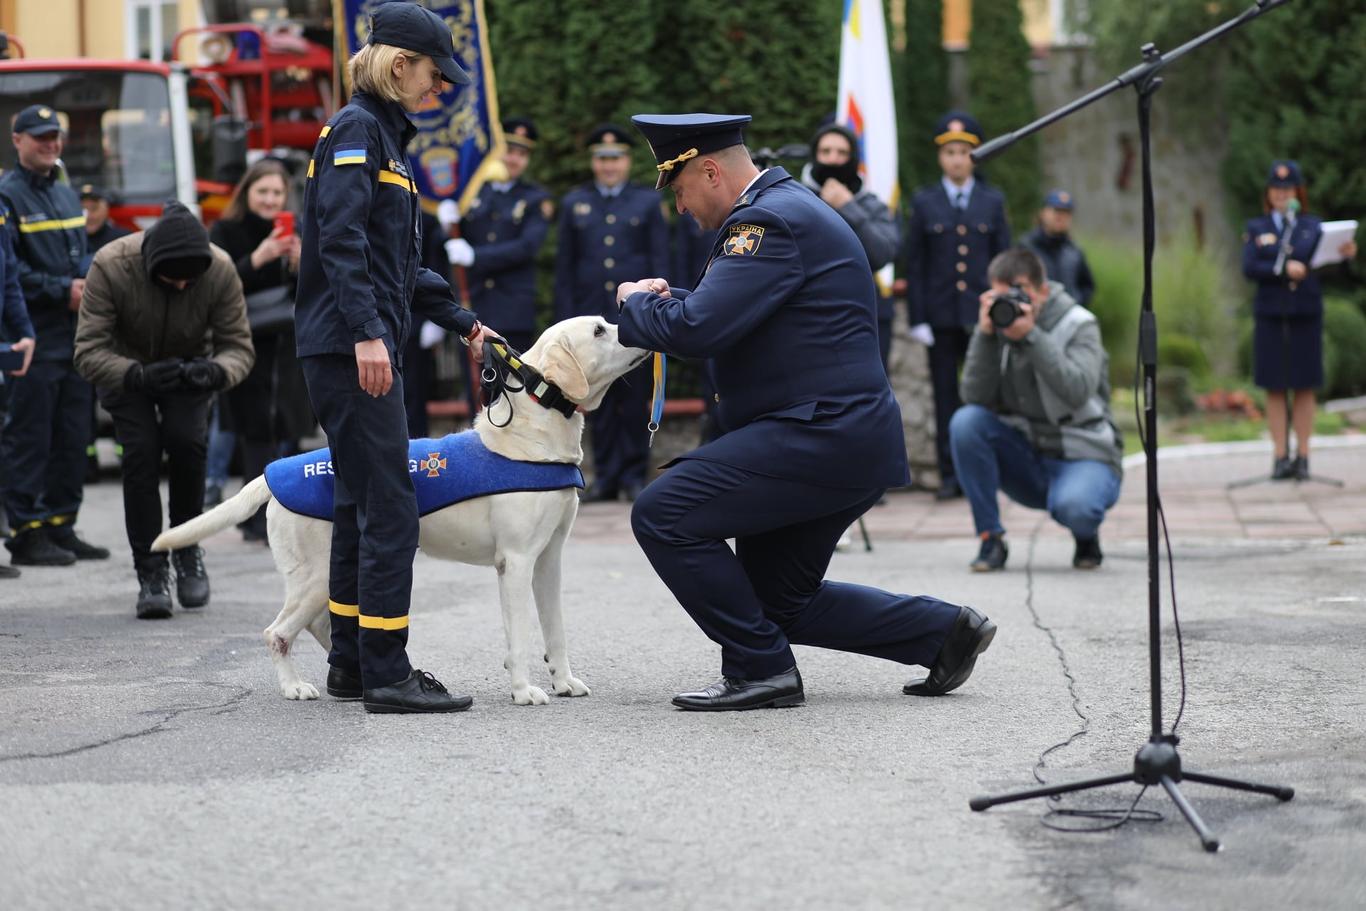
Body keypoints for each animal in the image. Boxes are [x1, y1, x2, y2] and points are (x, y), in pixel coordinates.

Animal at [153, 316, 650, 710]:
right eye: (600, 330)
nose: (636, 324)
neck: (536, 434)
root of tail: (272, 472)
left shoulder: (548, 560)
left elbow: (555, 629)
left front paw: (564, 681)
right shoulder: (515, 562)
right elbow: (520, 635)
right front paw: (524, 690)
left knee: (319, 624)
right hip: (312, 575)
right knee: (276, 632)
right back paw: (295, 686)